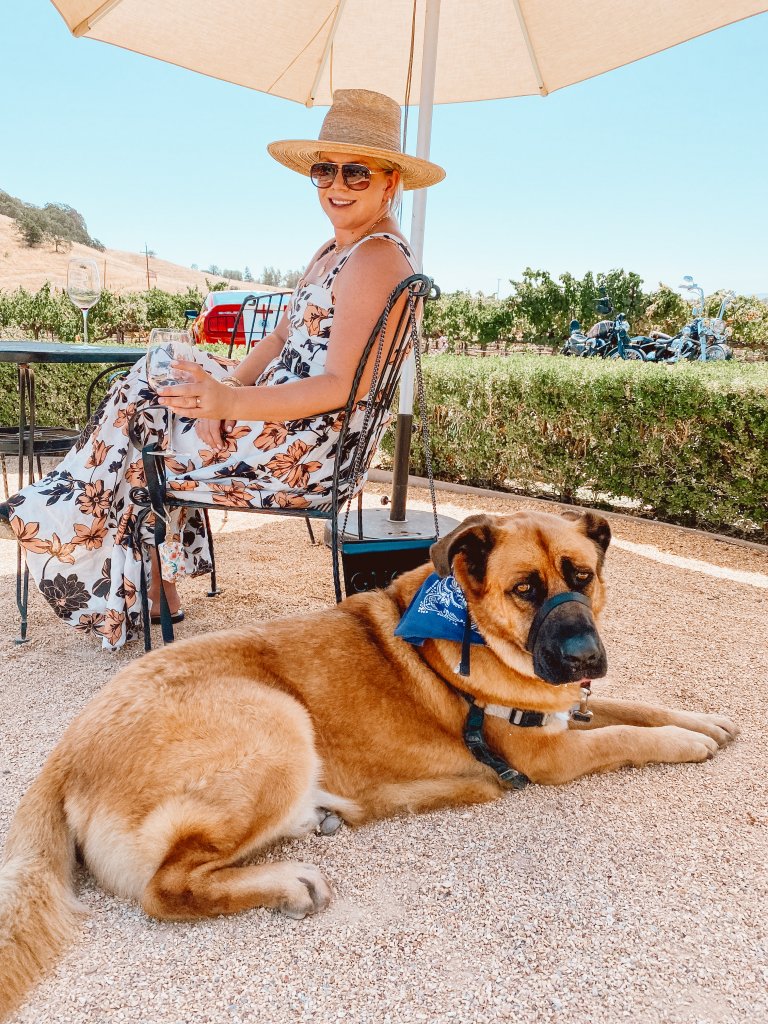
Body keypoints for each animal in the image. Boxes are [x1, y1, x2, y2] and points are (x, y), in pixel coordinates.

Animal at [0, 509, 741, 1015]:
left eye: (583, 577)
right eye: (526, 589)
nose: (586, 654)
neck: (471, 629)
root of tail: (65, 753)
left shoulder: (573, 706)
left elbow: (629, 705)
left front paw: (700, 720)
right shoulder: (551, 752)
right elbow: (624, 738)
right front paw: (684, 743)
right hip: (278, 723)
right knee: (166, 888)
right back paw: (287, 882)